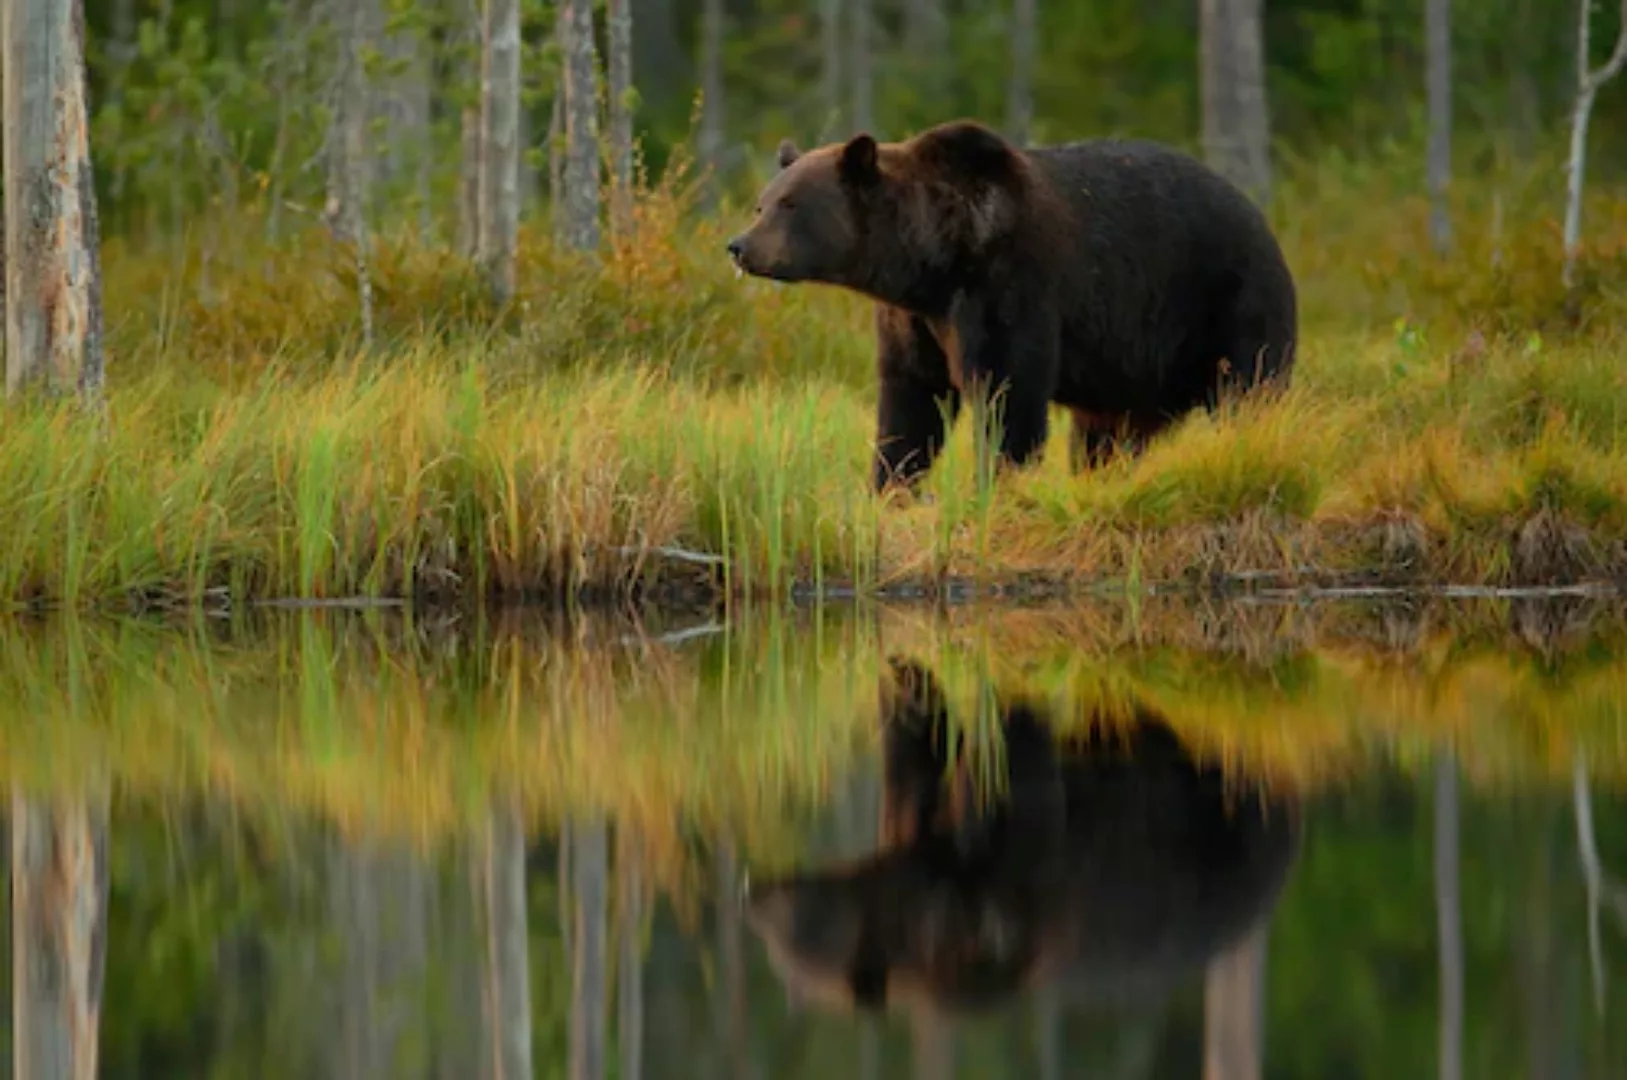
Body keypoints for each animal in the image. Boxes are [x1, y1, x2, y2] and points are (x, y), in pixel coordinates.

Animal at [725, 117, 1295, 487]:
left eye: (790, 203)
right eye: (762, 203)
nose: (739, 245)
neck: (932, 261)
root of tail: (1263, 220)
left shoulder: (1008, 286)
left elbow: (1008, 391)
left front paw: (998, 483)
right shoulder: (915, 320)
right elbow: (910, 402)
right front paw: (892, 485)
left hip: (1228, 301)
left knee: (1251, 389)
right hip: (1134, 371)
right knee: (1108, 434)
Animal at [745, 653, 1301, 1014]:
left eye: (787, 930)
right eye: (774, 949)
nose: (753, 892)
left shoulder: (1020, 883)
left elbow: (1014, 761)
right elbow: (917, 741)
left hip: (1221, 816)